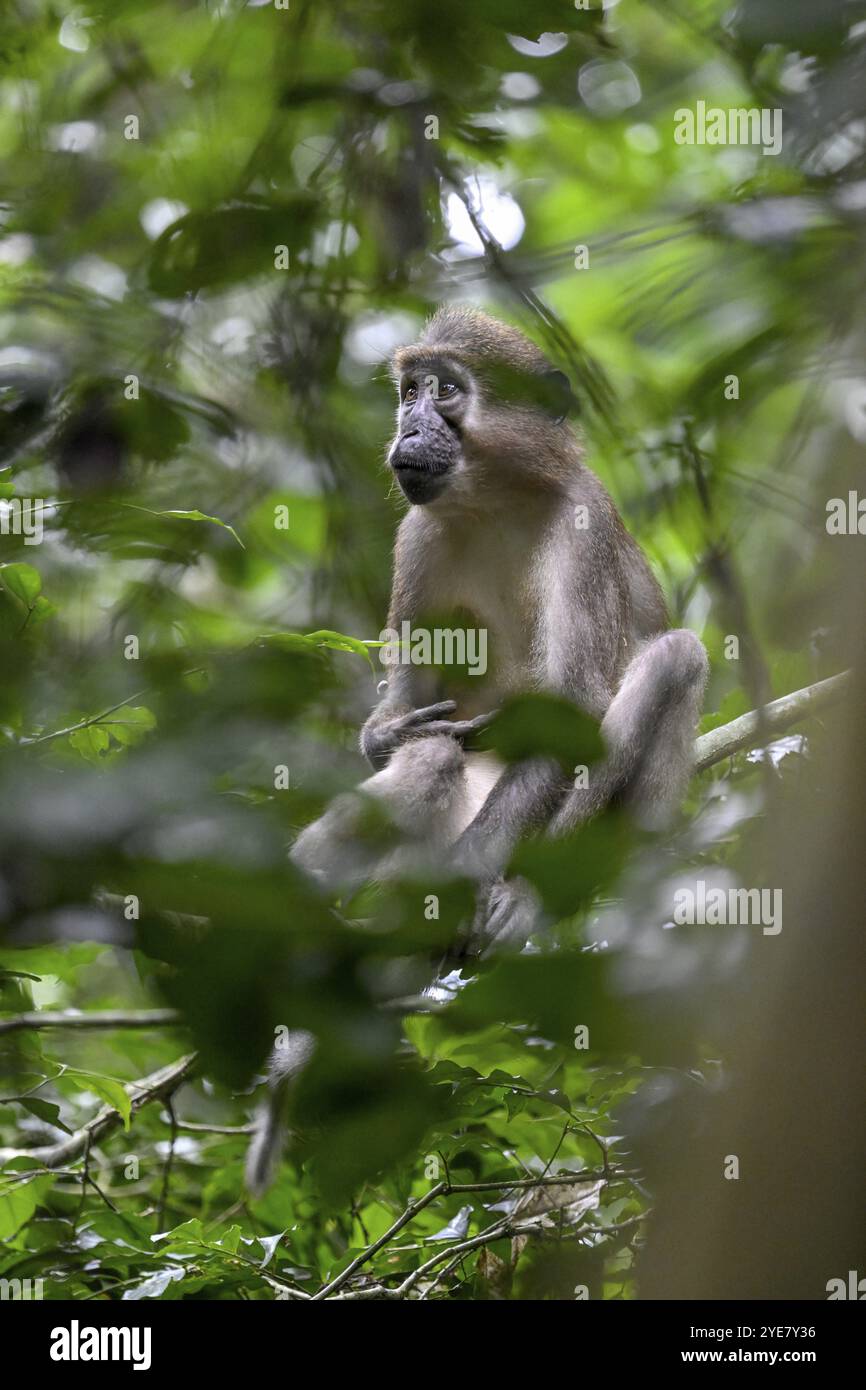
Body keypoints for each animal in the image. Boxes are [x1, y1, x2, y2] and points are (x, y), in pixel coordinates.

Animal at [247, 309, 708, 1200]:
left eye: (447, 389)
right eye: (409, 390)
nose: (409, 424)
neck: (494, 500)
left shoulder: (582, 524)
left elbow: (575, 714)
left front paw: (485, 893)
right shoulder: (416, 537)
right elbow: (406, 715)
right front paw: (387, 735)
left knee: (677, 656)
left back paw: (519, 899)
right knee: (434, 765)